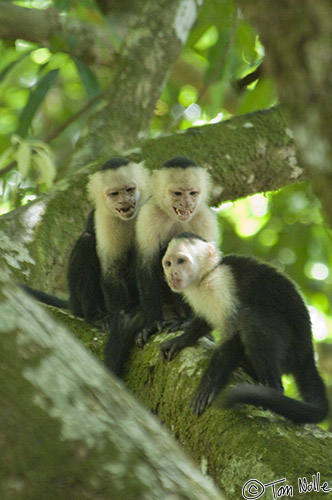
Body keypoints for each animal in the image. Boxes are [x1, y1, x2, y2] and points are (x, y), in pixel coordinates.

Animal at [22, 157, 149, 328]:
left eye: (129, 189)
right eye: (114, 194)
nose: (124, 202)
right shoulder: (104, 218)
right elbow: (111, 273)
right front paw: (124, 321)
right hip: (79, 300)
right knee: (86, 241)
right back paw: (95, 316)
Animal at [135, 154, 218, 346]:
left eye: (192, 193)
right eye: (178, 193)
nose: (187, 203)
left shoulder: (205, 219)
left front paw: (189, 323)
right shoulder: (149, 215)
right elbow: (146, 266)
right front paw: (153, 324)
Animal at [161, 232, 330, 424]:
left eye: (181, 261)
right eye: (168, 263)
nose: (172, 273)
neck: (206, 276)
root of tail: (307, 353)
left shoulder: (222, 284)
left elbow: (233, 335)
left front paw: (209, 384)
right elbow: (204, 321)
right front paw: (180, 340)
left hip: (292, 349)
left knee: (251, 318)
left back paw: (272, 389)